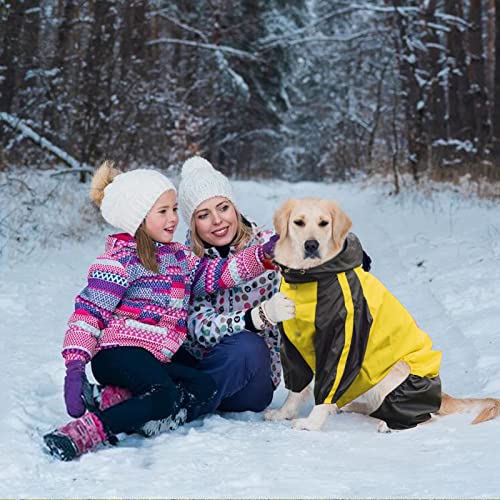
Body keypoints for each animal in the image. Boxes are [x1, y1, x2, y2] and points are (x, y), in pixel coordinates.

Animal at [268, 197, 500, 432]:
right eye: (298, 222)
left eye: (324, 223)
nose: (311, 245)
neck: (310, 277)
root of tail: (441, 395)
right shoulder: (292, 345)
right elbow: (297, 388)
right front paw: (284, 413)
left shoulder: (342, 344)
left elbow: (326, 389)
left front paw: (312, 423)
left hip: (392, 374)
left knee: (429, 417)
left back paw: (389, 424)